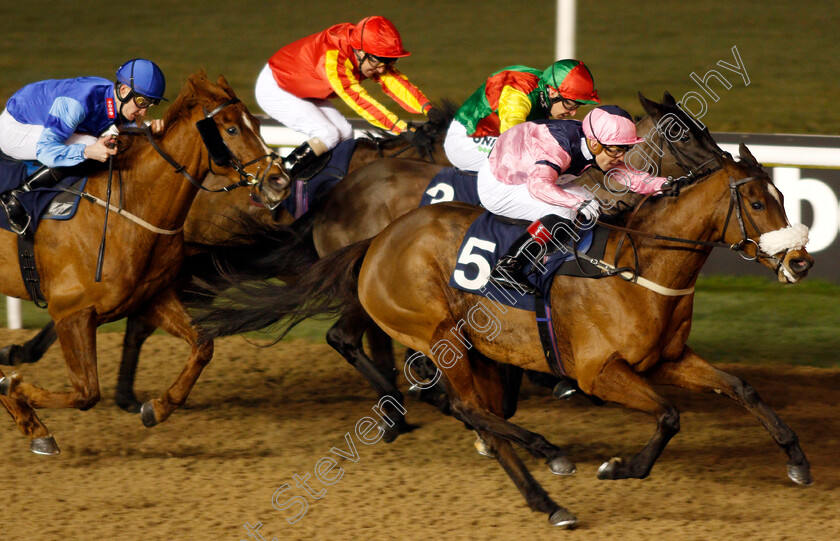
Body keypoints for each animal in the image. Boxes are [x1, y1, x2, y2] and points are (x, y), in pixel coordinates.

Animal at [0, 70, 284, 452]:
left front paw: (156, 408)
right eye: (231, 129)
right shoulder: (71, 313)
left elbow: (203, 345)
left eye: (255, 121)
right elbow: (86, 392)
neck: (130, 208)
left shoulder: (152, 296)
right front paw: (20, 396)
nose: (280, 180)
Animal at [194, 146, 812, 524]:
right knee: (469, 409)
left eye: (785, 197)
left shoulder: (668, 358)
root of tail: (378, 240)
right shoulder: (600, 372)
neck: (636, 270)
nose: (802, 263)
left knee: (474, 412)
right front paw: (621, 466)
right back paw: (547, 472)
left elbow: (741, 387)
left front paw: (797, 460)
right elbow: (668, 415)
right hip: (441, 335)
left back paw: (539, 477)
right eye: (758, 201)